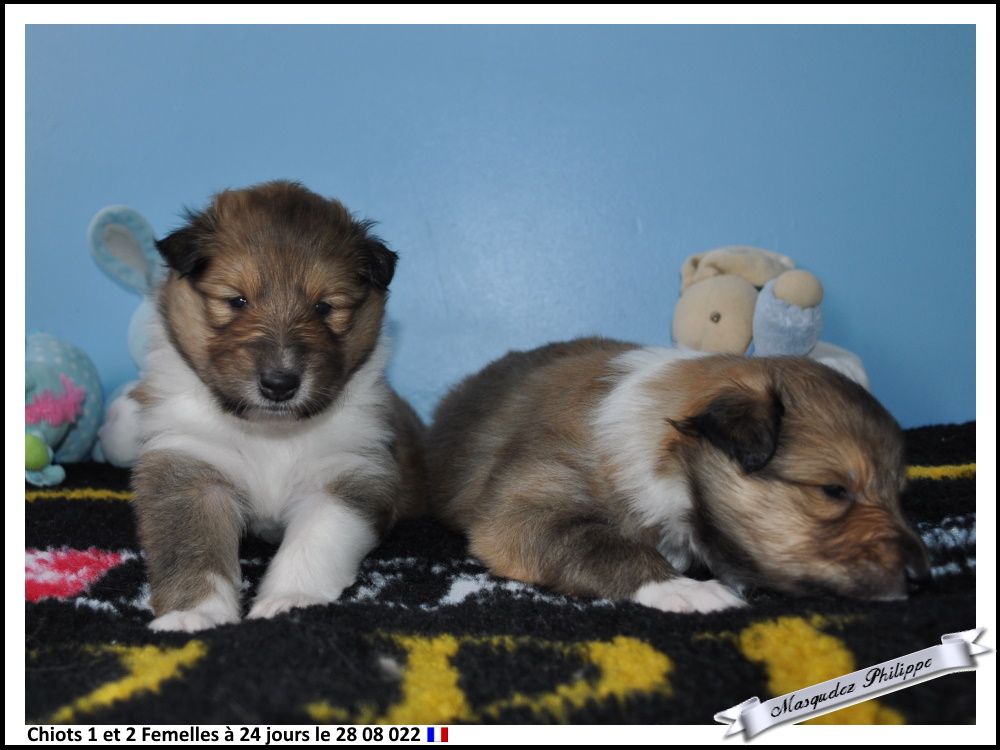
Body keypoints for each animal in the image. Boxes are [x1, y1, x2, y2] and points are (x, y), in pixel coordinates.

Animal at [131, 182, 424, 636]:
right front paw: (193, 615)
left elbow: (315, 542)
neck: (269, 432)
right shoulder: (189, 467)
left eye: (324, 307)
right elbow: (191, 549)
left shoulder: (347, 471)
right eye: (236, 300)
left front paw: (291, 600)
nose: (279, 385)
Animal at [424, 338, 928, 612]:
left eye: (900, 493)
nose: (922, 576)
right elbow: (598, 542)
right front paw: (686, 589)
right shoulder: (525, 507)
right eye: (833, 490)